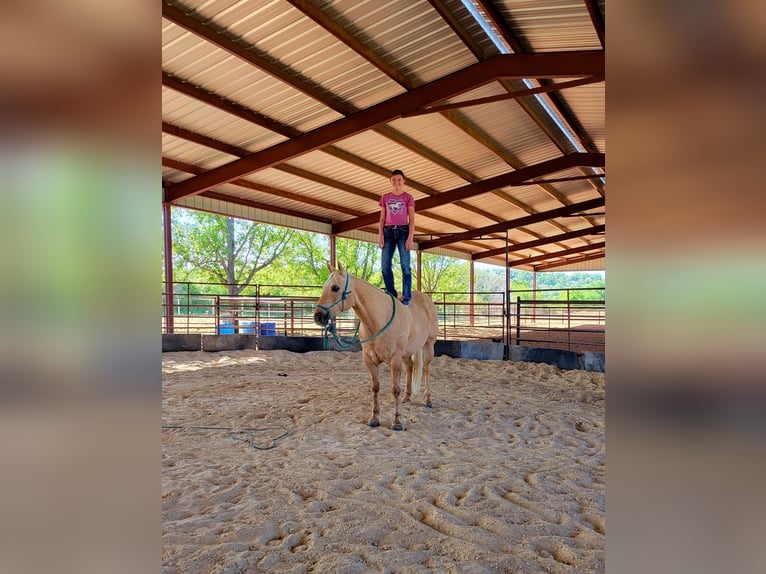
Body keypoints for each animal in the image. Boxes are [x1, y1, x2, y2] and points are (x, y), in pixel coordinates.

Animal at [316, 264, 440, 430]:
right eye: (324, 287)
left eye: (335, 288)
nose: (318, 316)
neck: (378, 319)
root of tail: (426, 299)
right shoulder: (369, 360)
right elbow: (375, 388)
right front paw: (374, 418)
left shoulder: (395, 360)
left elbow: (395, 389)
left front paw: (397, 422)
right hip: (407, 353)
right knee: (410, 367)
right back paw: (407, 397)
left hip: (428, 345)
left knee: (426, 370)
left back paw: (428, 400)